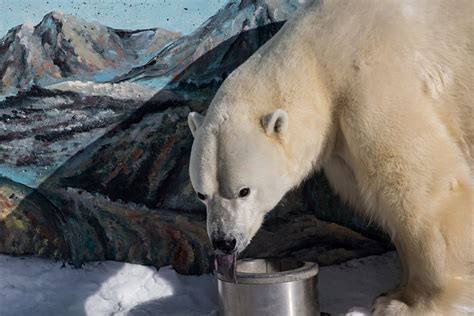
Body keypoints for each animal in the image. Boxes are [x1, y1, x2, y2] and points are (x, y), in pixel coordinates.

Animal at [187, 1, 472, 314]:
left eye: (244, 190)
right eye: (201, 194)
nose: (224, 241)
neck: (319, 55)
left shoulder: (371, 82)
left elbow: (423, 191)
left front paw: (406, 304)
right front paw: (395, 291)